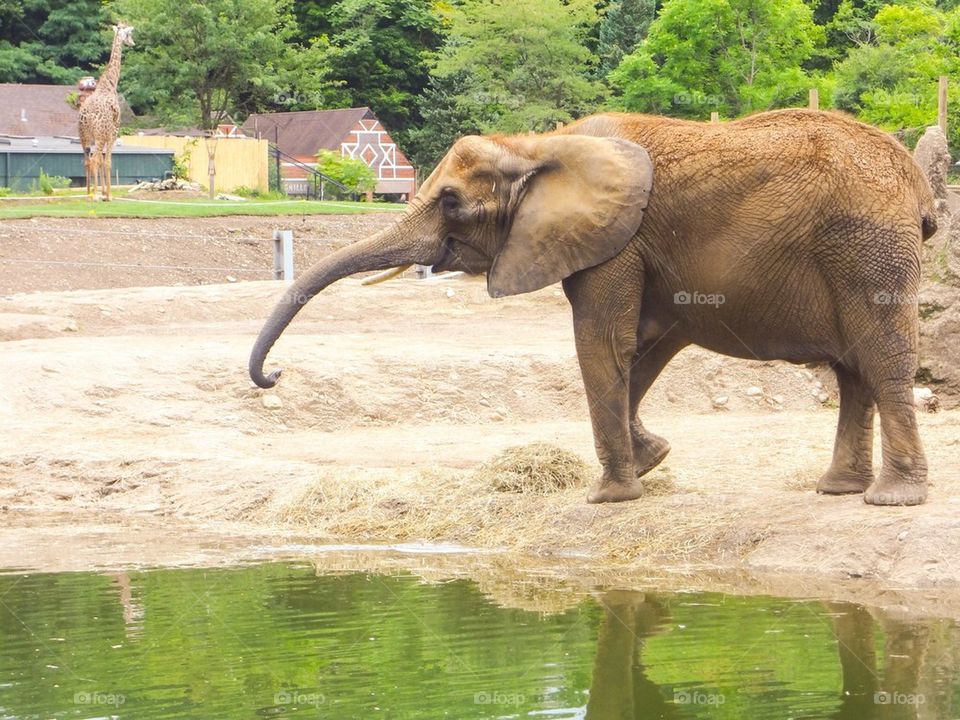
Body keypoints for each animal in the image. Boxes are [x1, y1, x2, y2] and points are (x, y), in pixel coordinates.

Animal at [79, 24, 135, 200]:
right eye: (129, 33)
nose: (133, 43)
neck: (110, 84)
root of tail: (86, 116)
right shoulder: (113, 133)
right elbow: (108, 161)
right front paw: (107, 195)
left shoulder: (105, 135)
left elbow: (103, 161)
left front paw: (104, 192)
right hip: (99, 136)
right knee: (95, 159)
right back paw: (96, 195)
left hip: (84, 137)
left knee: (87, 160)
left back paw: (89, 193)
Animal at [249, 111, 936, 506]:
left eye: (448, 201)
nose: (274, 374)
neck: (535, 145)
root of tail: (919, 185)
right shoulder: (630, 245)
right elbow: (643, 344)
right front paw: (652, 459)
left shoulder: (614, 239)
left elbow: (603, 340)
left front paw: (607, 497)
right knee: (853, 369)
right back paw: (839, 489)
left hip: (867, 246)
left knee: (881, 360)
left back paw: (892, 499)